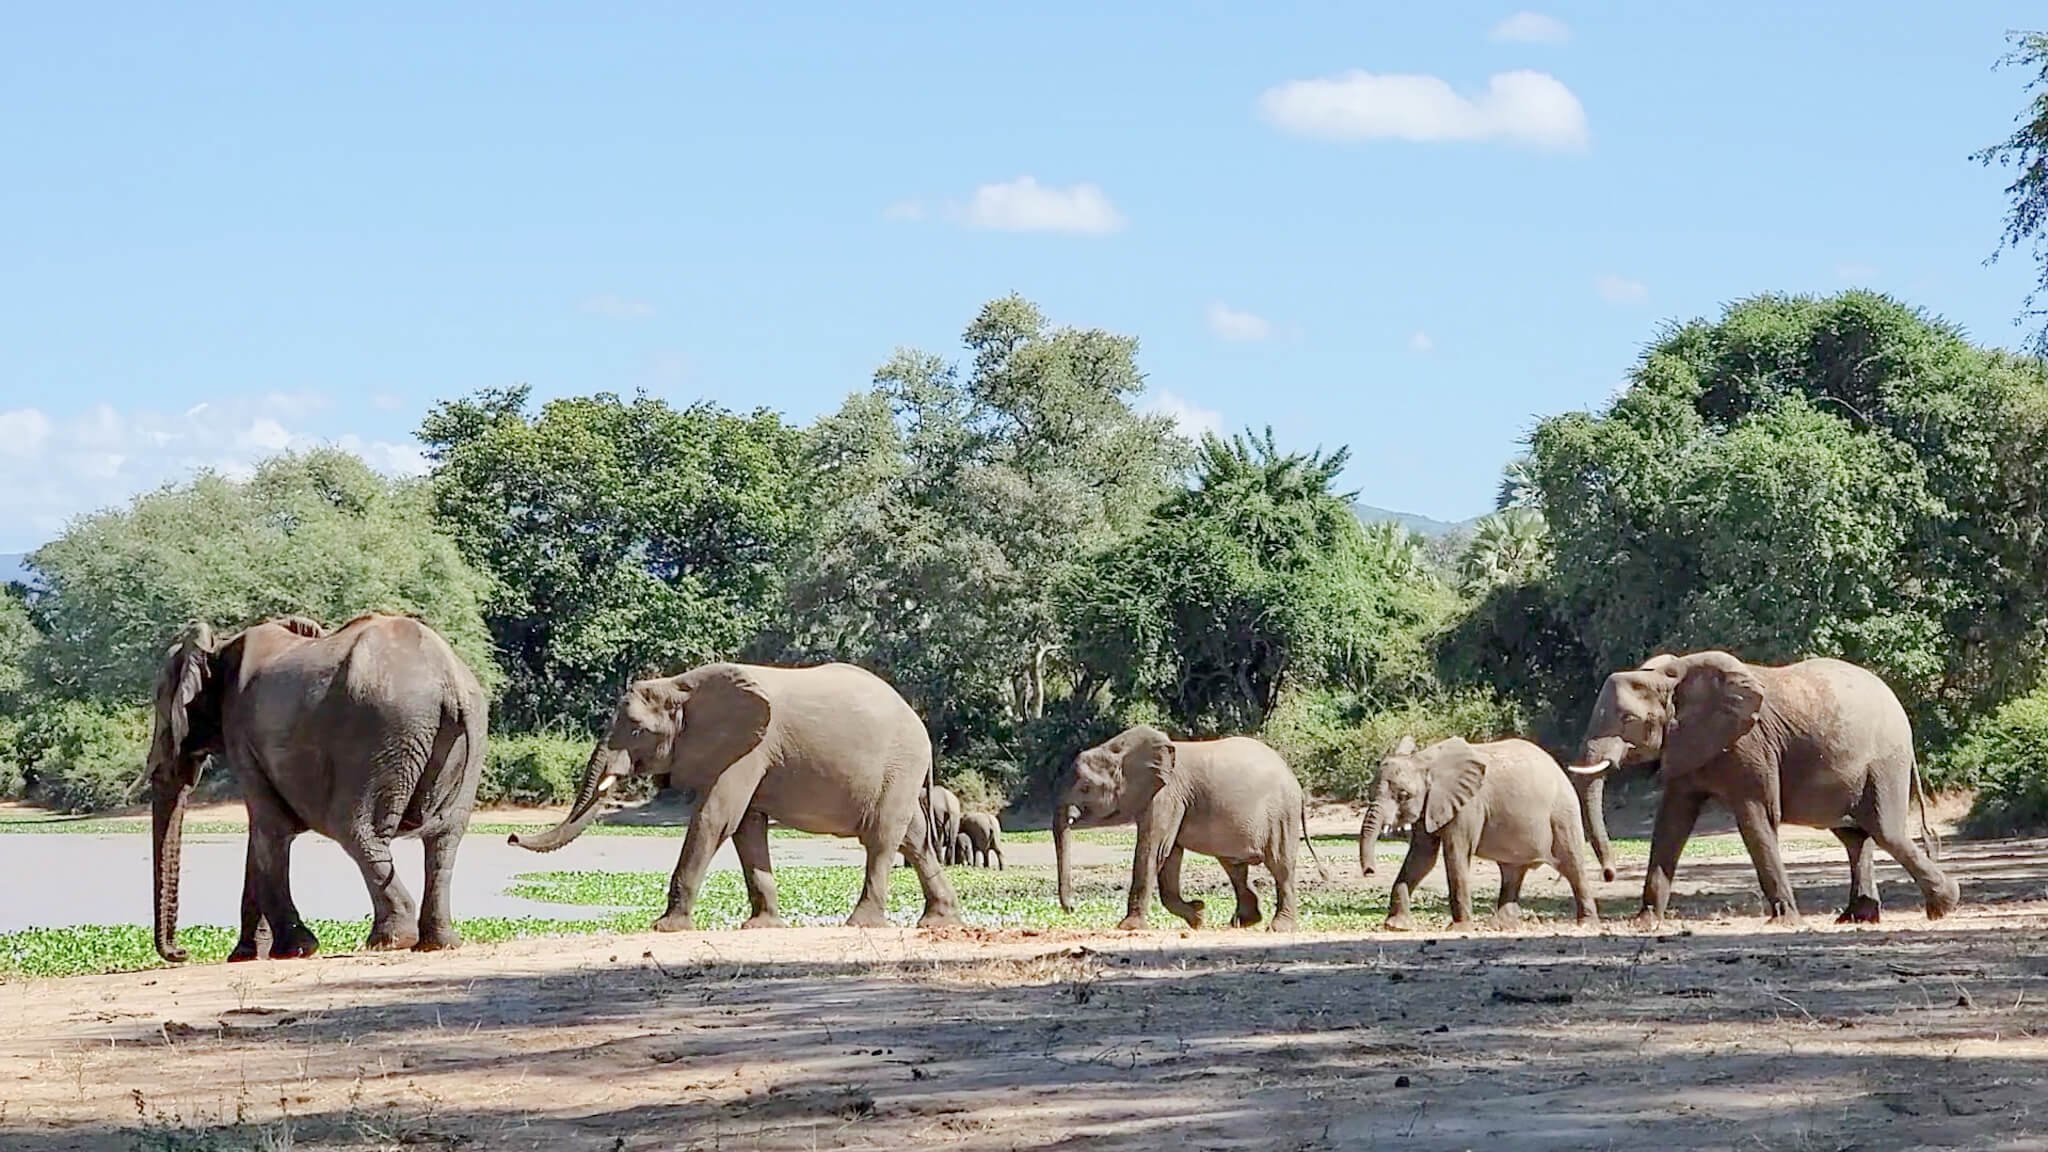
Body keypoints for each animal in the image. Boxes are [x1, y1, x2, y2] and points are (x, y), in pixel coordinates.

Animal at [146, 610, 489, 959]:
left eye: (161, 707)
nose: (181, 952)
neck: (221, 646)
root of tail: (450, 681)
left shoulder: (241, 733)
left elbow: (270, 827)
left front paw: (293, 950)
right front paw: (246, 956)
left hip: (380, 734)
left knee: (355, 829)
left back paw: (390, 941)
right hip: (465, 736)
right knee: (445, 838)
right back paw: (436, 943)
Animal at [507, 660, 962, 926]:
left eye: (636, 730)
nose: (510, 836)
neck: (681, 685)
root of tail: (920, 724)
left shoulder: (748, 748)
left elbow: (715, 818)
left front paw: (666, 928)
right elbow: (746, 828)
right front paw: (762, 927)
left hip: (899, 767)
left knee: (882, 838)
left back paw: (861, 924)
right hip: (900, 774)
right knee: (914, 840)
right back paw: (938, 922)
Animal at [1048, 725, 1318, 934]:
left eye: (1085, 787)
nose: (1072, 908)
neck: (1120, 749)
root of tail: (1294, 778)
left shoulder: (1167, 795)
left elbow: (1153, 849)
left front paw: (1128, 928)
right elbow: (1169, 854)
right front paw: (1198, 916)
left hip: (1282, 814)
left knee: (1280, 866)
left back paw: (1278, 928)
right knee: (1234, 867)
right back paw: (1244, 922)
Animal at [1359, 733, 1597, 934]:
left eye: (1403, 795)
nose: (1370, 871)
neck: (1425, 762)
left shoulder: (1468, 805)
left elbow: (1455, 855)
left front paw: (1459, 929)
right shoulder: (1431, 805)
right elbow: (1421, 857)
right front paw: (1396, 926)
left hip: (1563, 813)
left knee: (1572, 864)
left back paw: (1586, 923)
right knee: (1512, 872)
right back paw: (1500, 926)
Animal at [1556, 647, 1957, 922]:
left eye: (1628, 720)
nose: (1609, 875)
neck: (1674, 676)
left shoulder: (1749, 745)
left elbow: (1756, 818)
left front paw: (1785, 920)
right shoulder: (1687, 744)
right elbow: (1671, 822)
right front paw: (1645, 922)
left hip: (1885, 761)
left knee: (1885, 829)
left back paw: (1943, 906)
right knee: (1856, 836)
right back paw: (1856, 918)